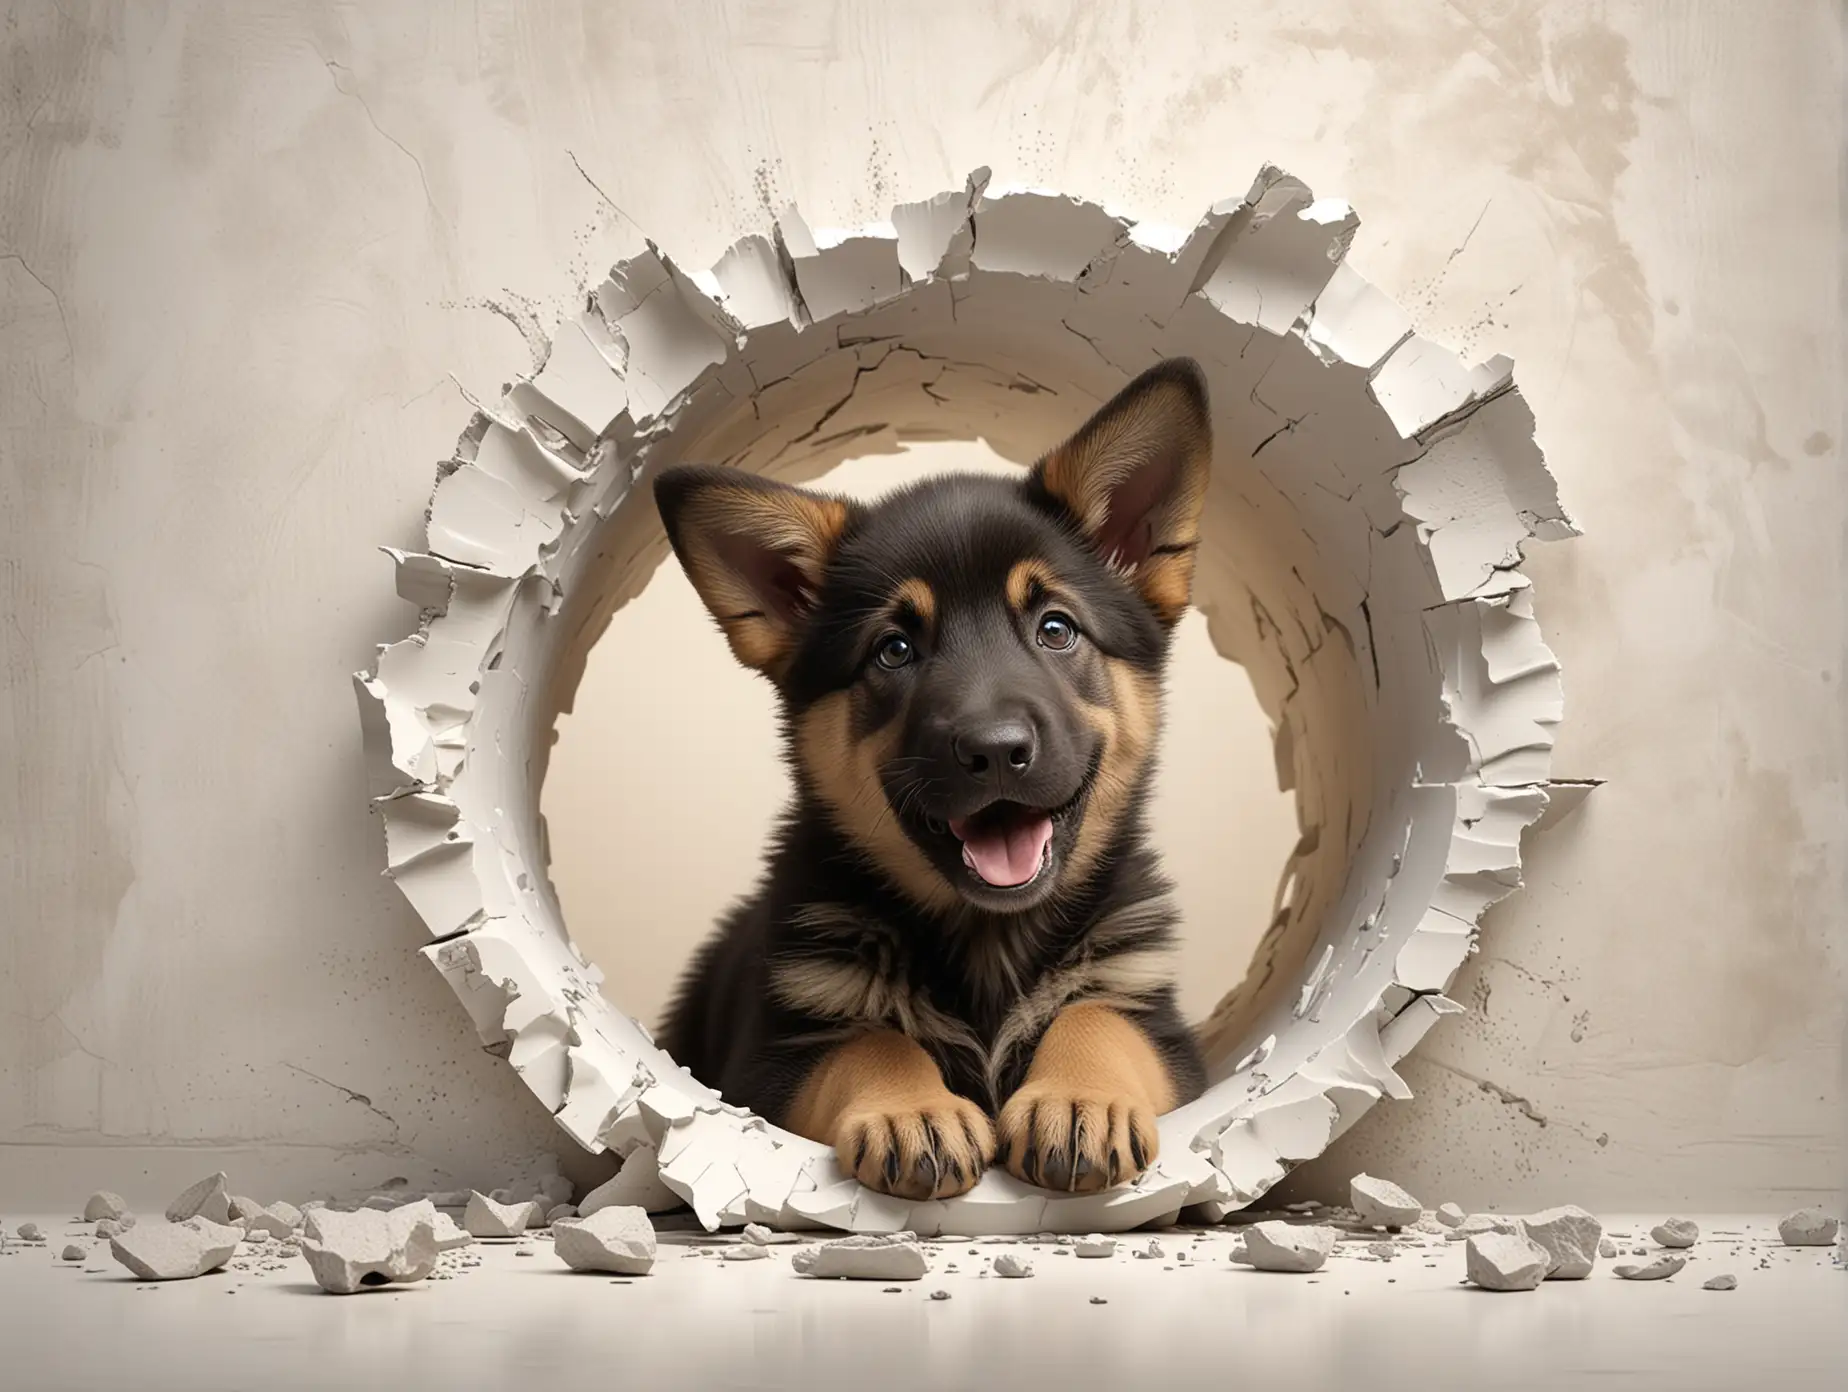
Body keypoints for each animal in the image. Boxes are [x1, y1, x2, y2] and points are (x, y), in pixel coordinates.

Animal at [661, 354, 1212, 1197]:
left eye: (1056, 629)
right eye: (894, 650)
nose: (994, 750)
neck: (986, 941)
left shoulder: (1164, 1031)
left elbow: (1097, 1016)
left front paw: (1079, 1098)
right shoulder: (768, 1068)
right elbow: (871, 1042)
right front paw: (911, 1110)